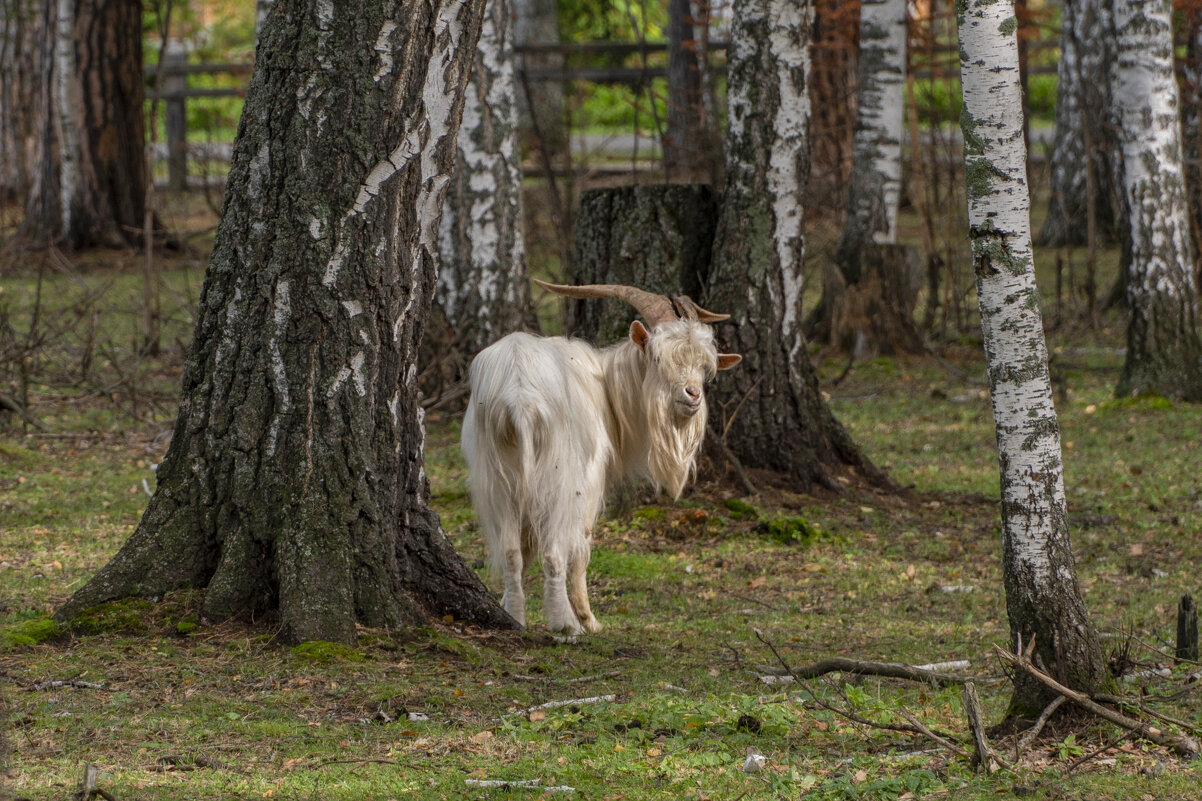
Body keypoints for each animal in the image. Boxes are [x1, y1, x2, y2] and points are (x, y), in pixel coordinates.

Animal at [461, 279, 740, 630]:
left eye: (706, 366)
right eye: (658, 358)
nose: (693, 395)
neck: (606, 386)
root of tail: (519, 395)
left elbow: (523, 550)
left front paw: (505, 606)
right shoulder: (589, 483)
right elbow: (581, 547)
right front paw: (589, 619)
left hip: (497, 477)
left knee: (512, 550)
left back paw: (516, 616)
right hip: (558, 478)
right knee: (554, 551)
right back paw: (567, 624)